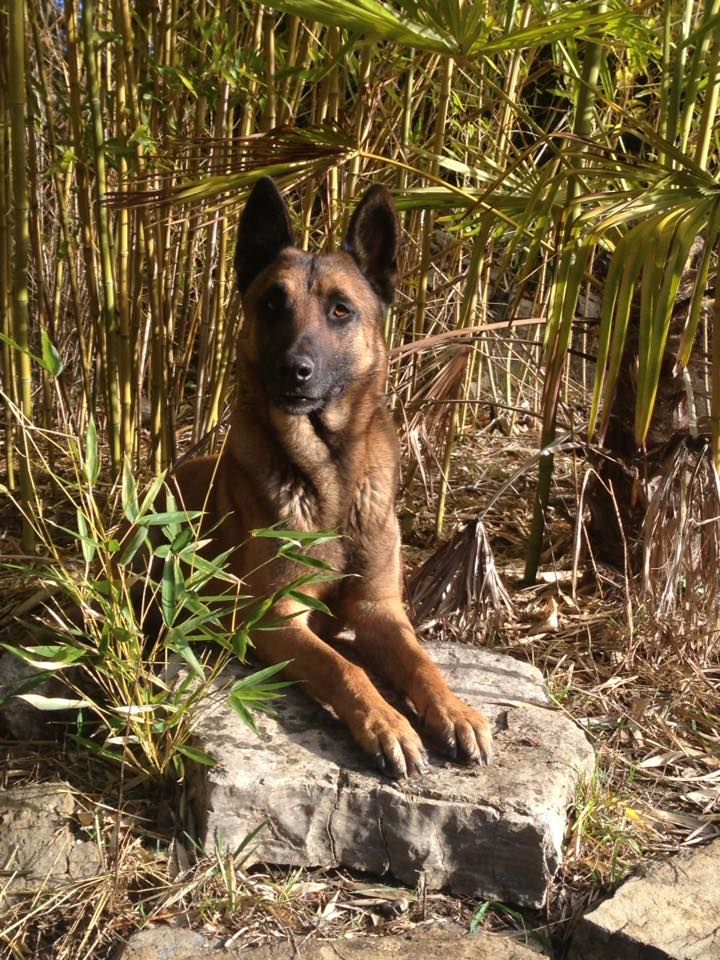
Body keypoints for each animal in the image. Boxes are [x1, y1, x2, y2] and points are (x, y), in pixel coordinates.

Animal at [172, 178, 492, 780]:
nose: (293, 371)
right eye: (272, 305)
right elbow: (344, 668)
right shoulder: (274, 617)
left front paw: (455, 711)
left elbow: (422, 662)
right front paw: (388, 724)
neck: (333, 477)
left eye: (341, 310)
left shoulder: (380, 609)